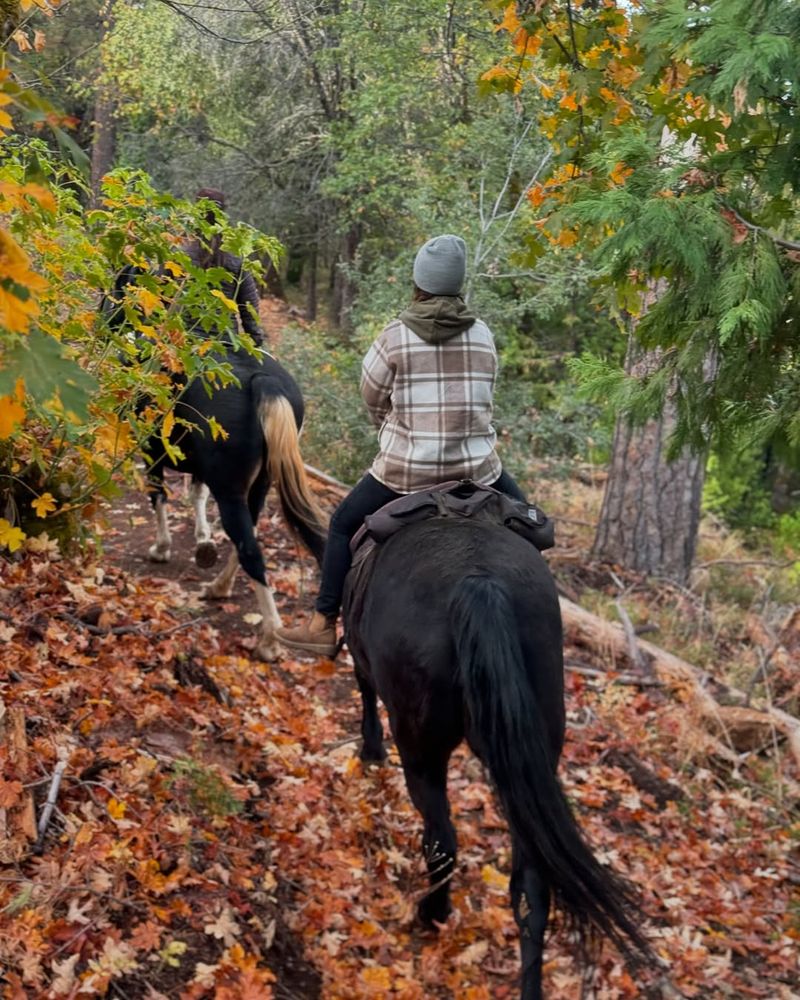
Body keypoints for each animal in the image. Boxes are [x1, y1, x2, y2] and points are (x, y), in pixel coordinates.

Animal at [342, 516, 648, 1000]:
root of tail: (480, 583)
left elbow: (363, 688)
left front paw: (371, 751)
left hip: (421, 749)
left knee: (442, 840)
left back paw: (432, 913)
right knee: (533, 886)